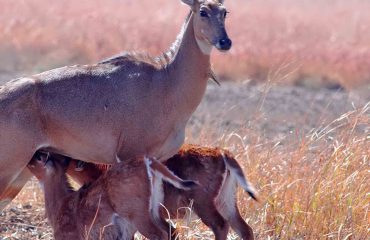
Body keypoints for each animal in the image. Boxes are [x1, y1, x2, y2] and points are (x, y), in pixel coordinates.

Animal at [27, 153, 197, 239]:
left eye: (38, 159)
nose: (29, 158)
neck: (60, 203)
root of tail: (147, 161)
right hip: (154, 210)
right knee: (171, 231)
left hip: (139, 216)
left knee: (161, 234)